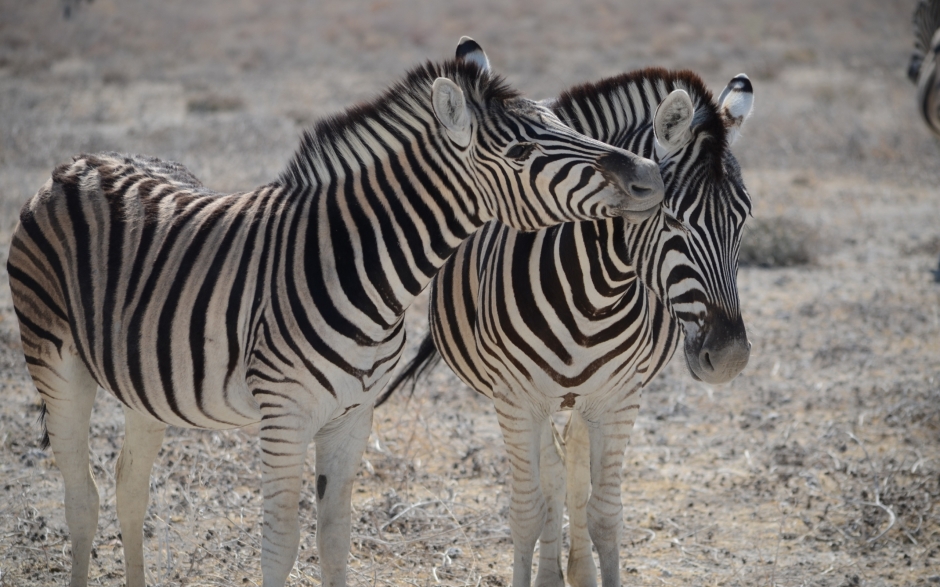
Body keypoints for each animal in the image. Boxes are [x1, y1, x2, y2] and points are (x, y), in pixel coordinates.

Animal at [9, 52, 668, 584]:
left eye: (564, 124)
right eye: (524, 152)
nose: (650, 175)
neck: (367, 273)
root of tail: (80, 161)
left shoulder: (353, 416)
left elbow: (334, 541)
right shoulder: (284, 415)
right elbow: (280, 543)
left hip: (146, 384)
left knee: (129, 488)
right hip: (55, 362)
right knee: (82, 500)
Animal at [378, 36, 752, 587]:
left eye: (744, 218)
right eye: (673, 219)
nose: (728, 358)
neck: (594, 294)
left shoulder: (619, 399)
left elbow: (604, 512)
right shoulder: (516, 400)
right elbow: (528, 510)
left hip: (583, 399)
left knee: (571, 462)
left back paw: (575, 568)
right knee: (552, 472)